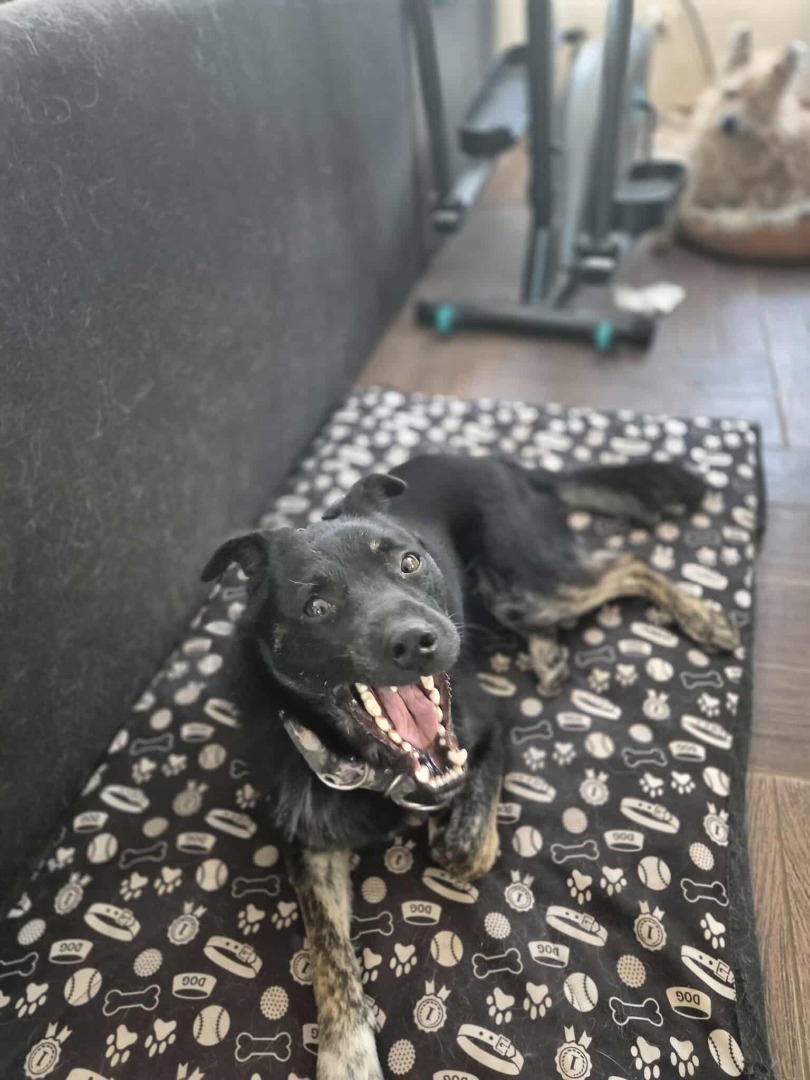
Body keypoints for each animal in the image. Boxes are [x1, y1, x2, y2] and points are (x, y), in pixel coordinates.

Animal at [202, 453, 739, 1080]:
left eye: (409, 563)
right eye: (317, 606)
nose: (418, 641)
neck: (375, 762)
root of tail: (507, 463)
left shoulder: (489, 727)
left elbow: (462, 847)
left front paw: (447, 824)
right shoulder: (308, 839)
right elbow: (328, 951)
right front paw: (346, 1054)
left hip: (521, 585)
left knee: (627, 564)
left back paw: (702, 618)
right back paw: (549, 653)